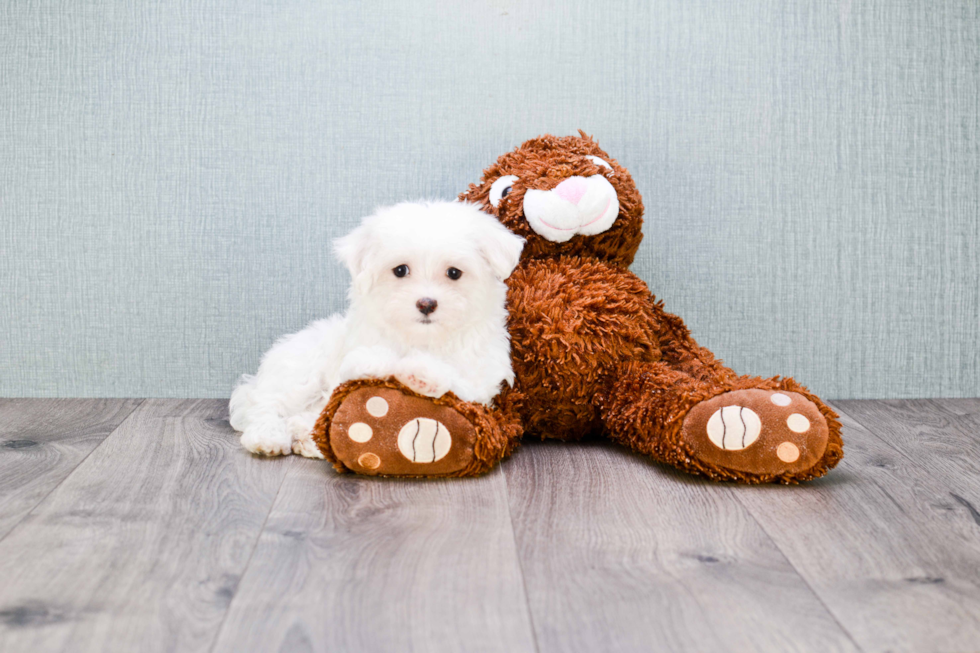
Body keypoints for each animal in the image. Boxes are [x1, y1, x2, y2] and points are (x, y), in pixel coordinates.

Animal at [229, 201, 524, 456]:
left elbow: (459, 381)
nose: (426, 303)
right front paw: (381, 363)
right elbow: (365, 361)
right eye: (400, 270)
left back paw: (305, 438)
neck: (422, 339)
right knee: (268, 403)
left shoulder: (481, 380)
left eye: (454, 273)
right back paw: (268, 437)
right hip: (300, 369)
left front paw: (422, 373)